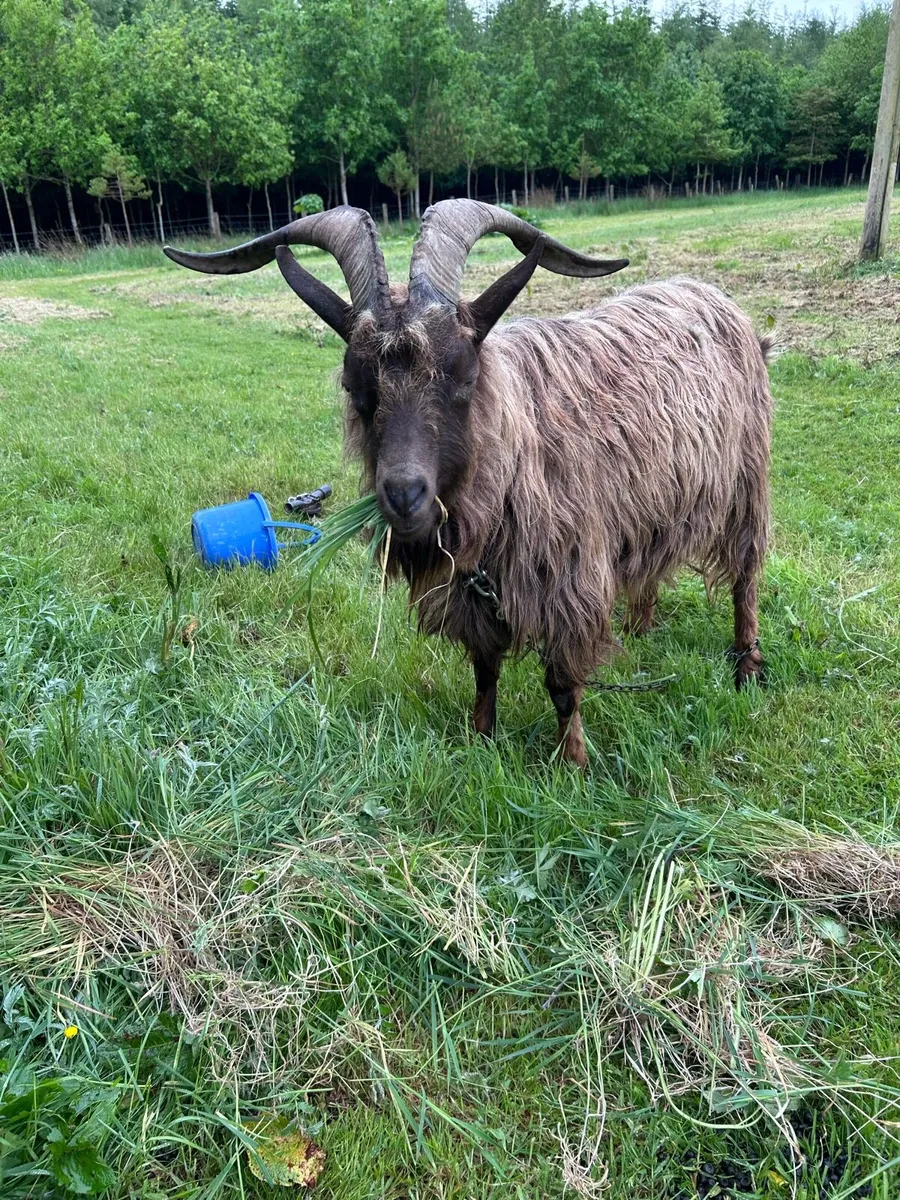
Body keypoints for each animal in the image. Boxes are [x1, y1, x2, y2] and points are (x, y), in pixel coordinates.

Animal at [166, 201, 771, 766]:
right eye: (354, 384)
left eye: (464, 372)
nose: (404, 495)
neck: (516, 458)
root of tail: (712, 294)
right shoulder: (473, 591)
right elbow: (484, 669)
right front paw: (481, 740)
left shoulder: (569, 580)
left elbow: (562, 685)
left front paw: (572, 762)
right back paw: (642, 626)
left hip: (747, 482)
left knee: (745, 577)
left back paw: (747, 665)